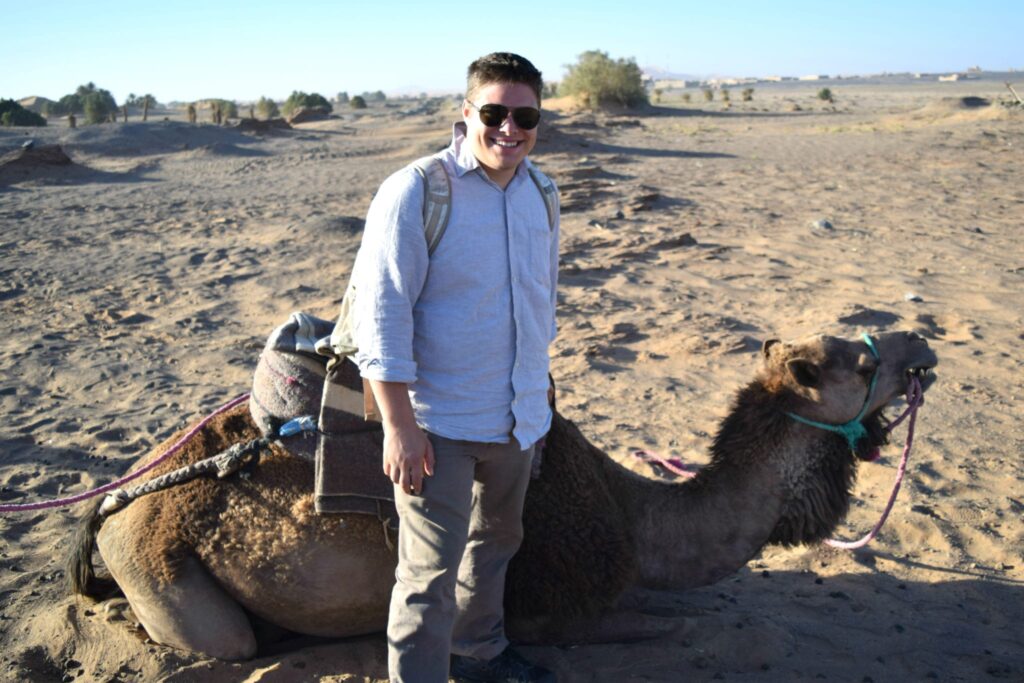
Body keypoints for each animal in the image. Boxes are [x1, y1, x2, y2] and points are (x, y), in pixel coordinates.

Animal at [70, 331, 937, 663]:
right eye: (861, 362)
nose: (922, 345)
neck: (635, 518)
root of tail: (114, 501)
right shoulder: (553, 614)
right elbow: (671, 624)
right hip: (158, 563)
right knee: (223, 641)